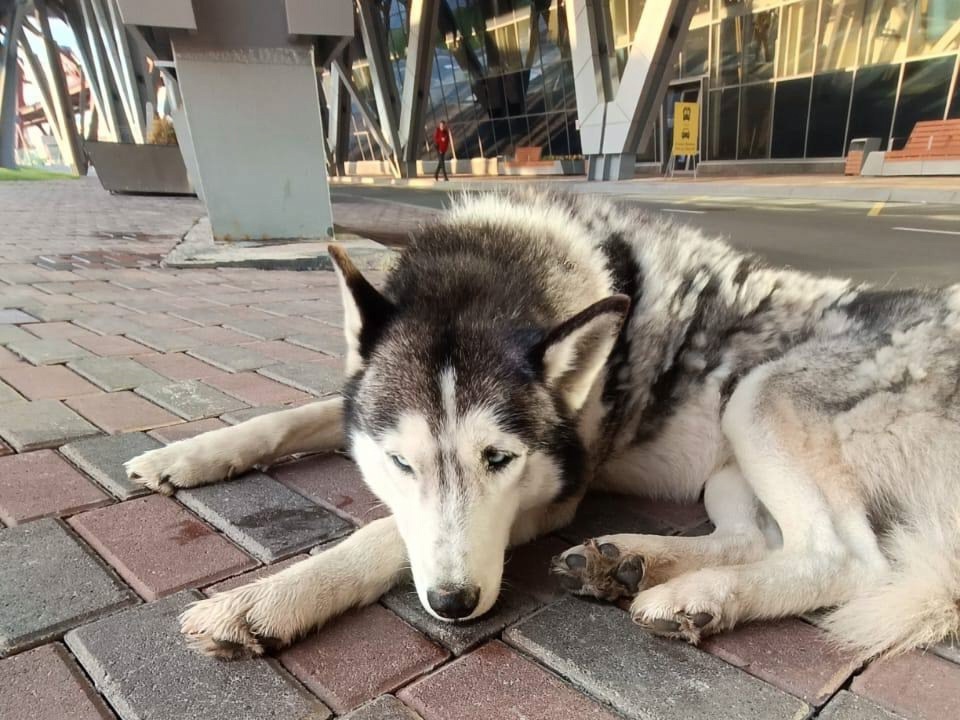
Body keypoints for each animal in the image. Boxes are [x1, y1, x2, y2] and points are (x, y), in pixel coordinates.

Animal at [125, 190, 960, 660]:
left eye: (500, 460)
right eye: (400, 464)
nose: (454, 605)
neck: (499, 266)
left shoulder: (553, 495)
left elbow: (383, 536)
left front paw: (264, 601)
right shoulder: (357, 408)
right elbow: (290, 416)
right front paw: (187, 453)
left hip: (757, 398)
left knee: (846, 557)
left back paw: (692, 593)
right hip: (730, 461)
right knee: (757, 537)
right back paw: (633, 563)